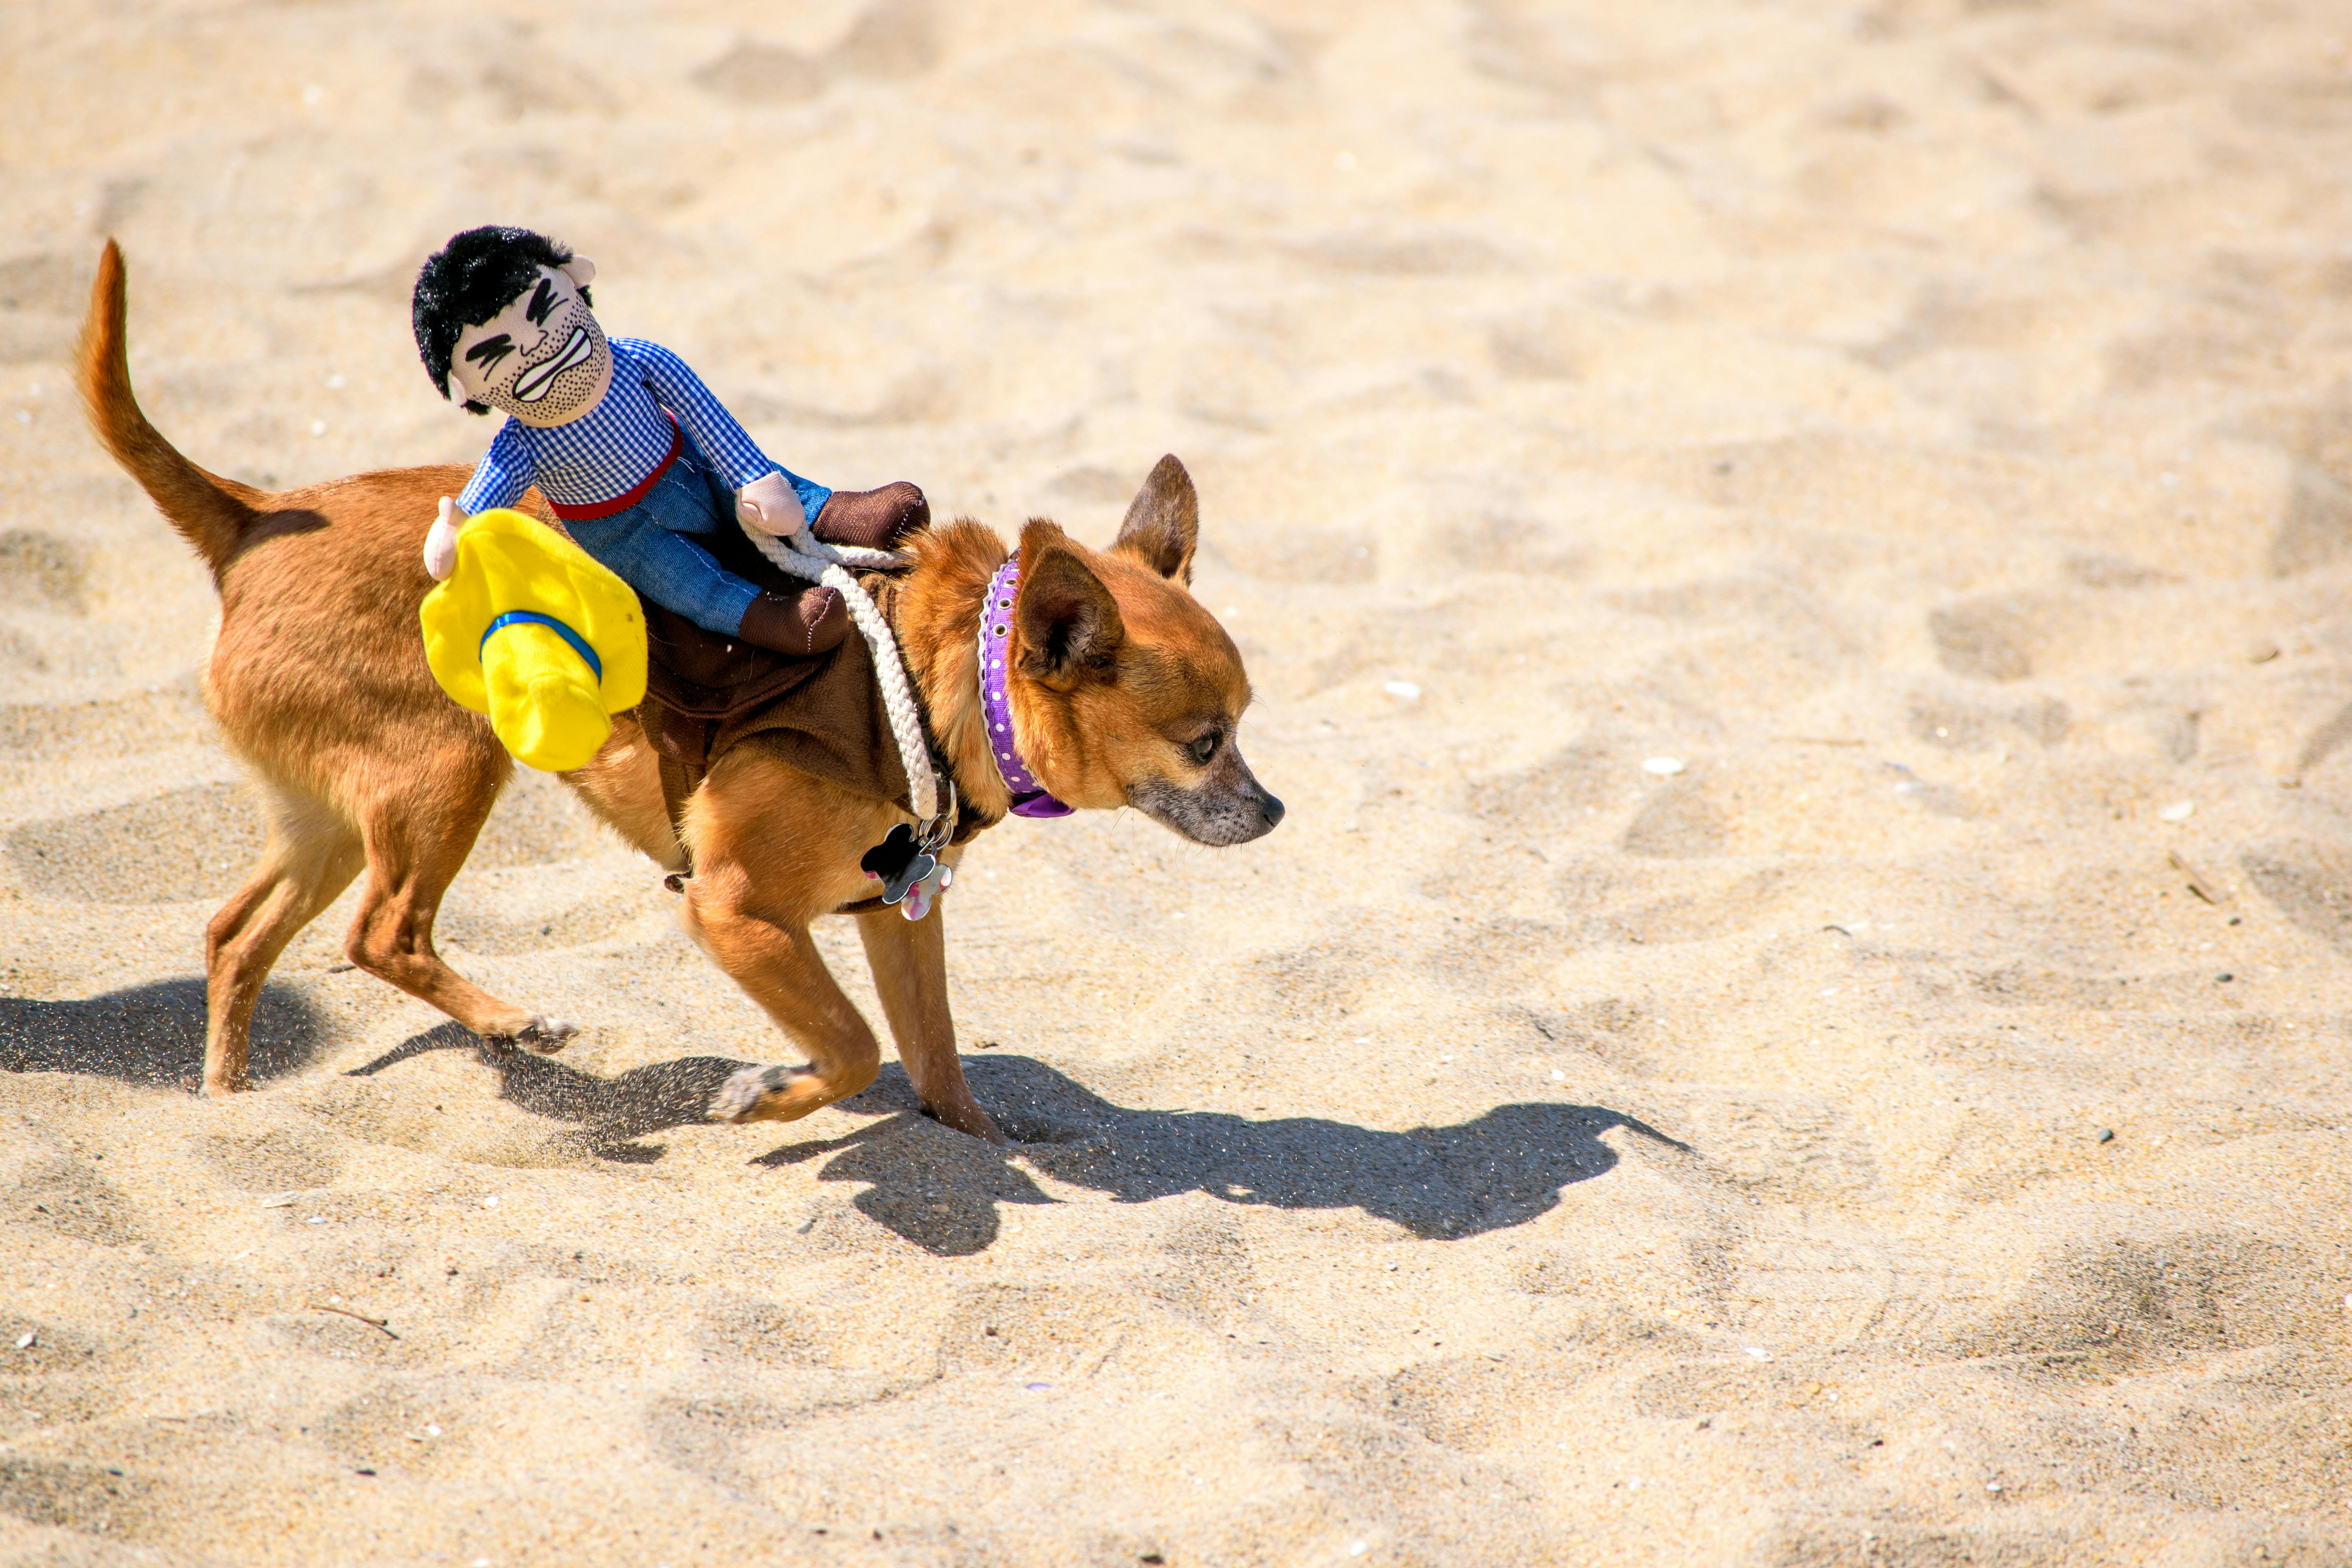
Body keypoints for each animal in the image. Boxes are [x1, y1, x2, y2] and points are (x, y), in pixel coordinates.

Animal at [78, 242, 1289, 1142]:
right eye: (1204, 742)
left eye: (1242, 732)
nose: (1275, 810)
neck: (931, 675)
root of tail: (254, 516)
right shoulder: (736, 912)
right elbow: (855, 1048)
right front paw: (771, 1097)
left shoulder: (897, 921)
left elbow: (934, 1056)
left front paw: (984, 1142)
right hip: (447, 778)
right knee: (382, 933)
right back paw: (513, 1024)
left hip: (327, 817)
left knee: (235, 936)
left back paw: (229, 1104)